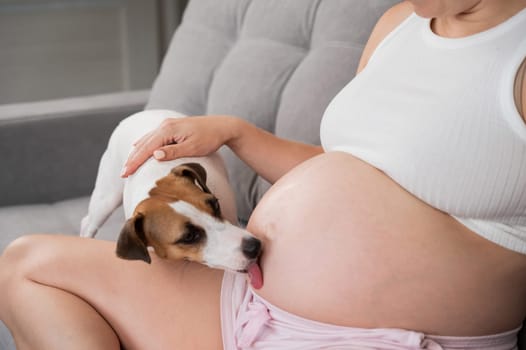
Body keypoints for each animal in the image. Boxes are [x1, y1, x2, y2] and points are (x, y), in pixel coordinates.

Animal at [79, 109, 262, 274]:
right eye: (189, 237)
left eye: (215, 205)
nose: (254, 246)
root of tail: (137, 114)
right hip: (106, 199)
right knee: (88, 222)